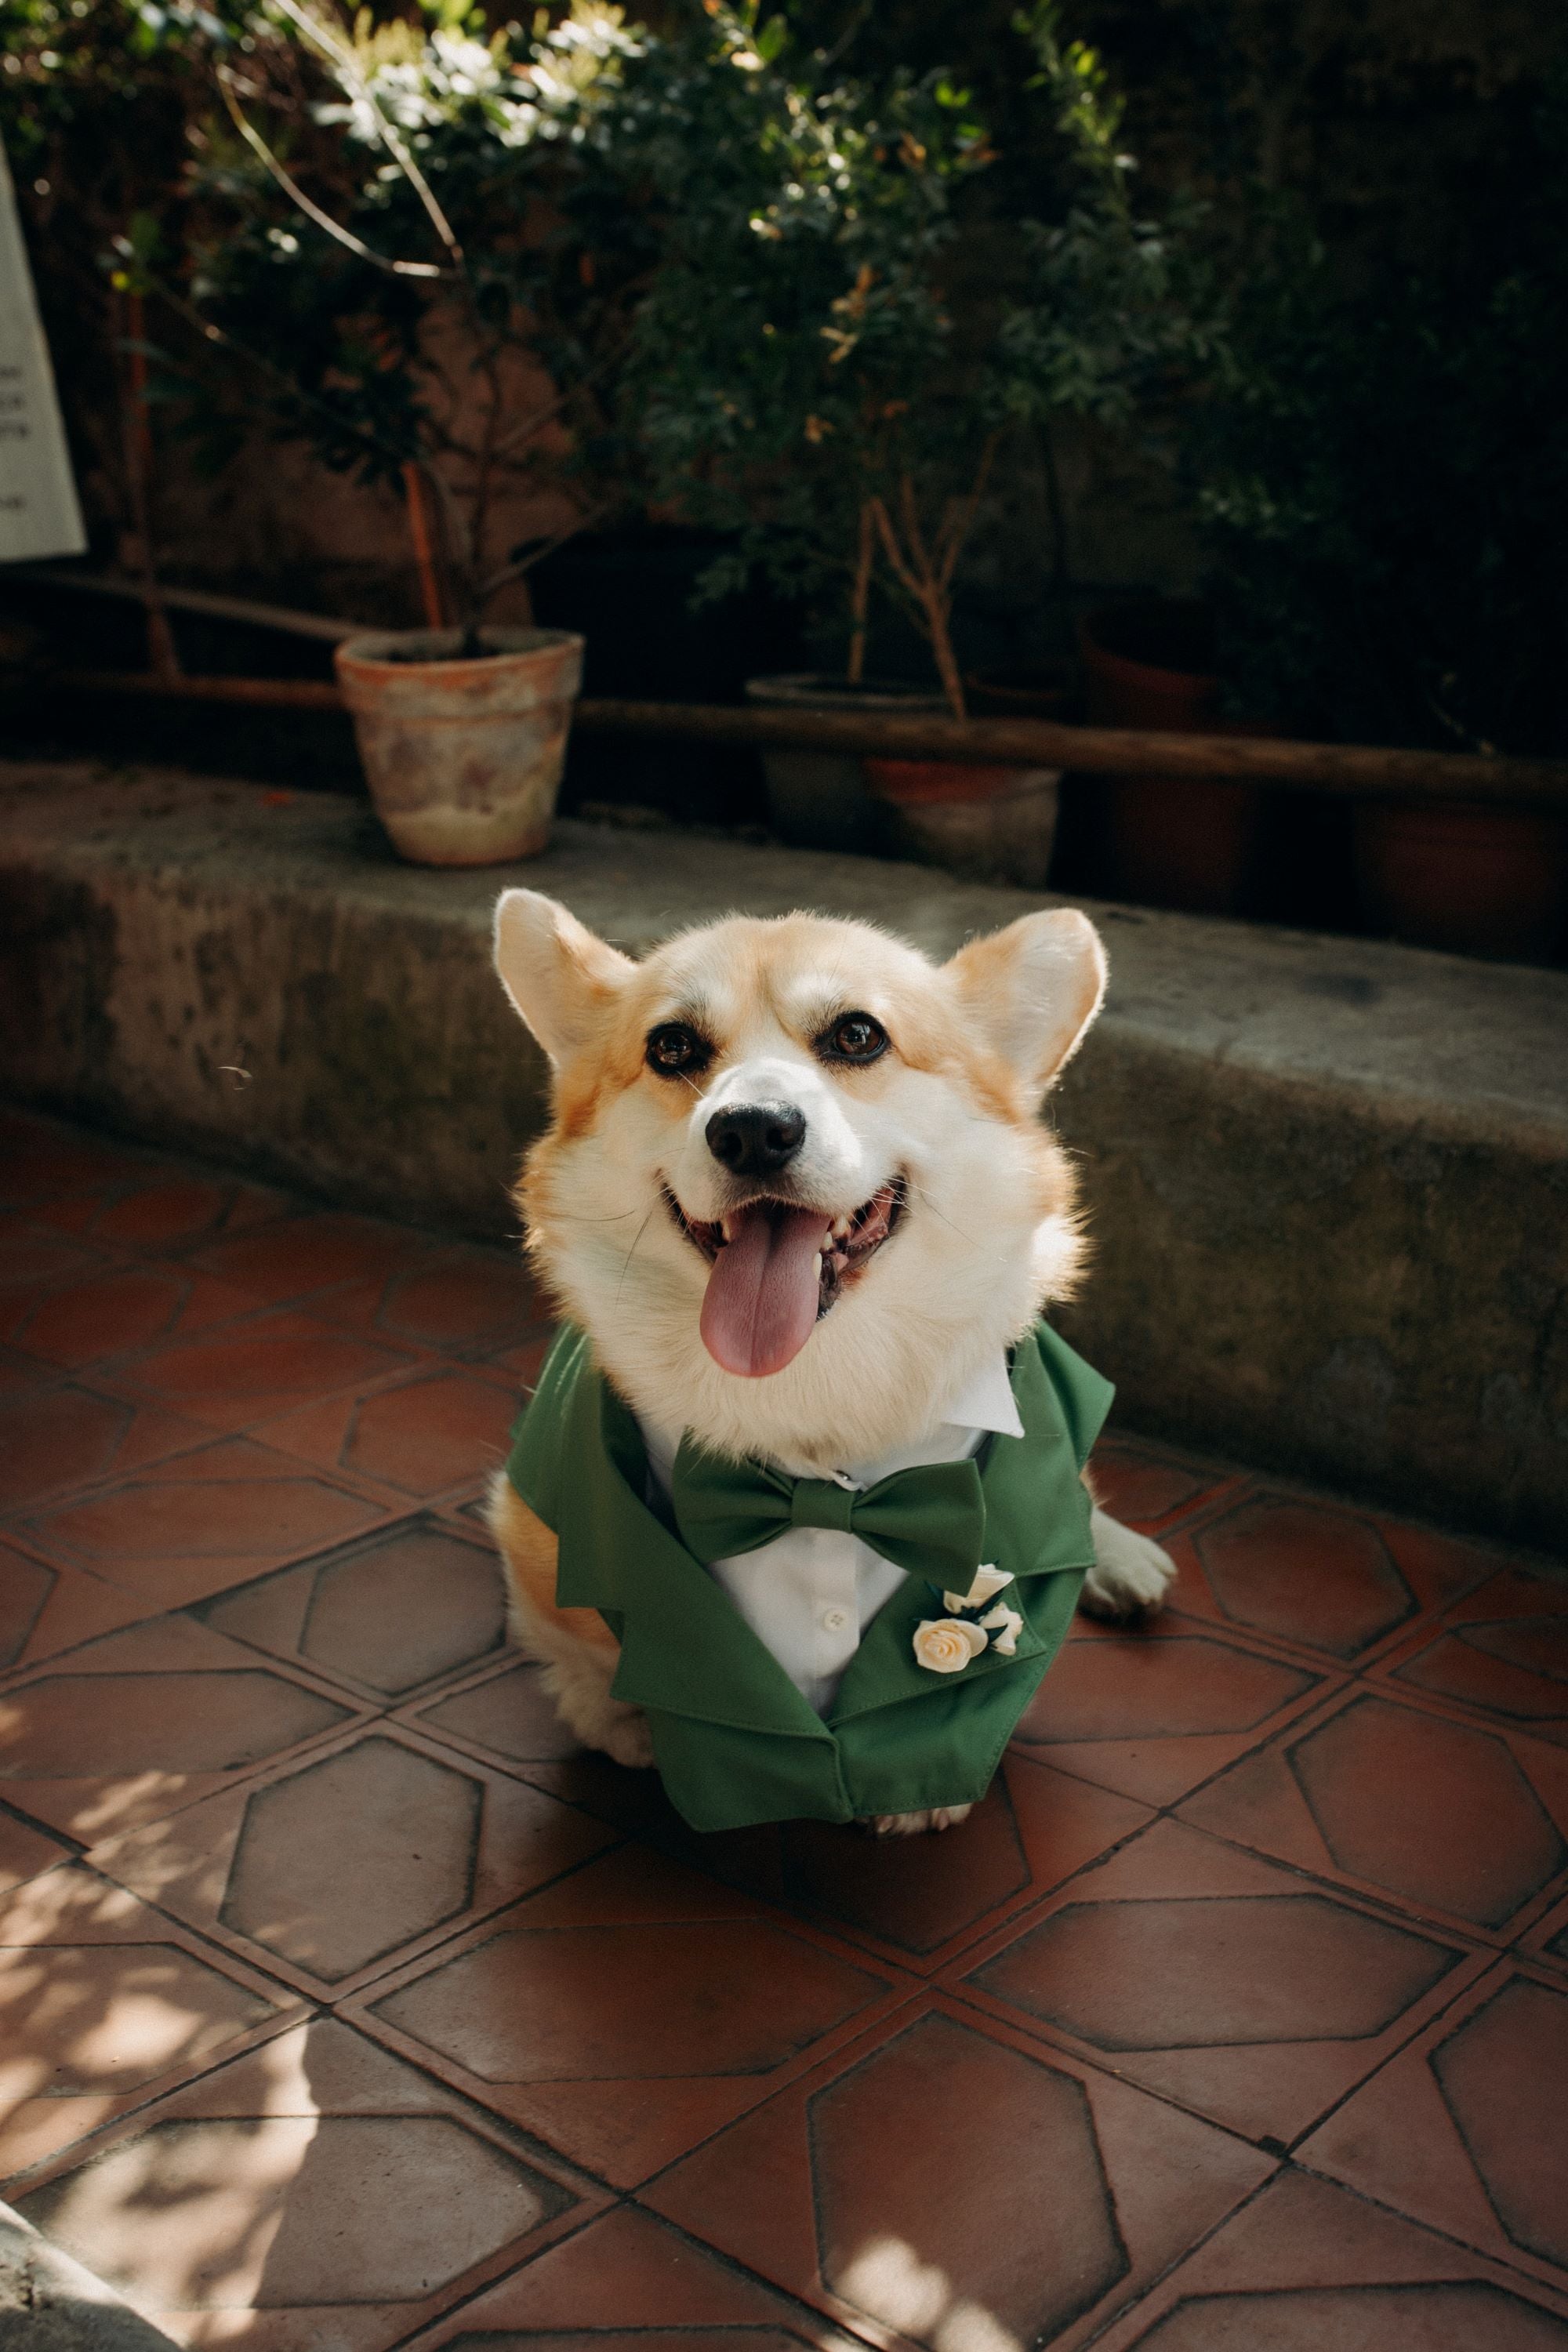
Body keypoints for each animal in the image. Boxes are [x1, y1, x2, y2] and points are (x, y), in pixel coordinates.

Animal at [484, 889, 1171, 1825]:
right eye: (672, 1048)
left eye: (855, 1036)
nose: (751, 1132)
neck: (809, 1392)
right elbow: (579, 1648)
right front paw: (624, 1721)